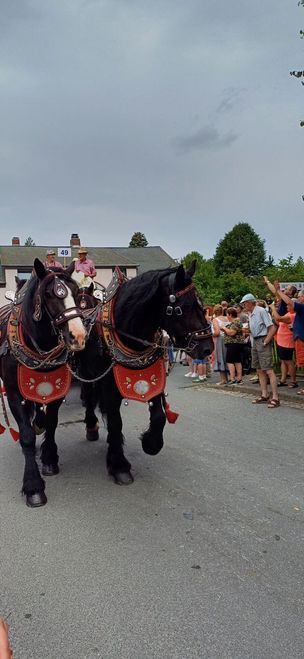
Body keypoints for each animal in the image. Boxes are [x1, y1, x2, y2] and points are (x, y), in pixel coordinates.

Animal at [0, 260, 86, 508]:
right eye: (49, 294)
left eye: (76, 291)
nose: (79, 336)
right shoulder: (13, 393)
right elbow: (27, 436)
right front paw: (33, 486)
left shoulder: (57, 388)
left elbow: (52, 422)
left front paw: (49, 458)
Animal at [75, 262, 214, 484]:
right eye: (182, 308)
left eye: (201, 304)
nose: (208, 348)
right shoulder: (108, 385)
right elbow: (115, 421)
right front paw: (119, 465)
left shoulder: (152, 378)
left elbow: (159, 416)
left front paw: (151, 443)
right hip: (86, 372)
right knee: (88, 397)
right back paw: (91, 426)